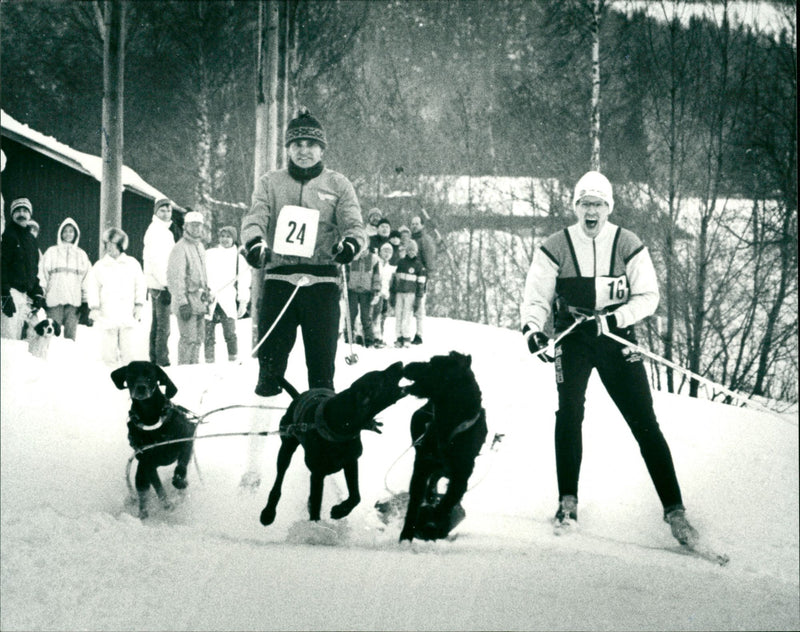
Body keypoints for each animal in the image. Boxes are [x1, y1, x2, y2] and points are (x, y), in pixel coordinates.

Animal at [111, 360, 197, 520]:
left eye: (150, 375)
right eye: (131, 375)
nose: (141, 388)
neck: (151, 417)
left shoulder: (187, 440)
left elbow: (181, 466)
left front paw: (179, 481)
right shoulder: (147, 463)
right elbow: (158, 487)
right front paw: (167, 504)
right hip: (141, 475)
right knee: (143, 494)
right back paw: (145, 515)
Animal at [260, 362, 406, 524]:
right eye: (382, 377)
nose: (400, 363)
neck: (340, 424)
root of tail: (297, 397)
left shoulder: (351, 462)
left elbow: (356, 496)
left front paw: (340, 510)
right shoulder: (317, 474)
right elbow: (316, 505)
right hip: (286, 448)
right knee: (279, 479)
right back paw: (269, 511)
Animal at [400, 350, 488, 544]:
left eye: (433, 363)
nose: (406, 366)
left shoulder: (461, 476)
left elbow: (447, 502)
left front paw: (432, 524)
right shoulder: (422, 466)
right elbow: (414, 502)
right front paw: (406, 536)